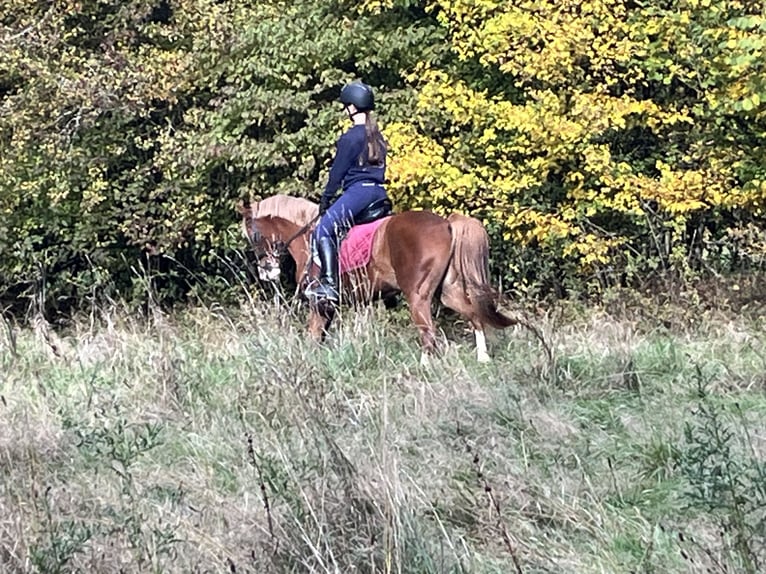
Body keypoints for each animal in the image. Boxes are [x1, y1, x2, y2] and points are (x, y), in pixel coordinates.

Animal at [238, 195, 516, 362]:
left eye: (253, 235)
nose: (266, 271)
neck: (307, 238)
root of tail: (447, 223)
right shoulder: (330, 307)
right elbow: (319, 337)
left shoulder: (319, 303)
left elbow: (313, 335)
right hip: (447, 291)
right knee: (473, 315)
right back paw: (483, 358)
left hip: (417, 296)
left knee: (428, 332)